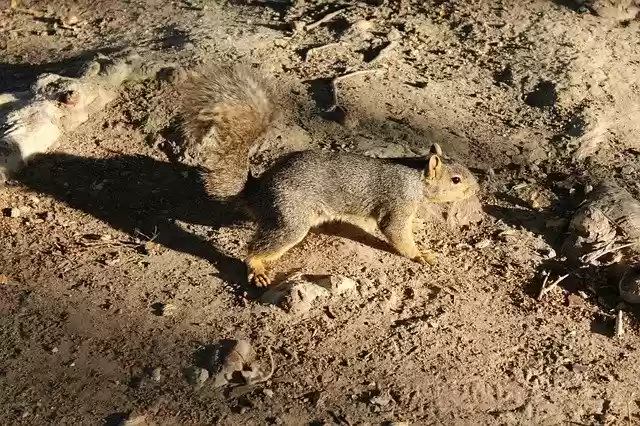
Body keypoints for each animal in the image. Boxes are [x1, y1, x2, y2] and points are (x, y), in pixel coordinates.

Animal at [178, 64, 480, 287]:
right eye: (455, 180)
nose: (476, 189)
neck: (415, 178)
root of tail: (257, 191)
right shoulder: (397, 204)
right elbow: (396, 233)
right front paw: (420, 254)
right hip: (291, 218)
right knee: (258, 247)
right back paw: (257, 267)